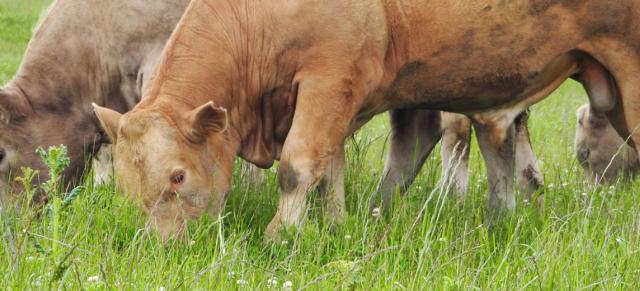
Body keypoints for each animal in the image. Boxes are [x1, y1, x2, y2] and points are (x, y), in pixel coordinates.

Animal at [92, 0, 636, 240]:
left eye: (178, 177)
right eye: (124, 188)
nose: (161, 247)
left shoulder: (328, 79)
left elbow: (299, 167)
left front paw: (280, 236)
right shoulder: (339, 97)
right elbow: (330, 167)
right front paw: (332, 225)